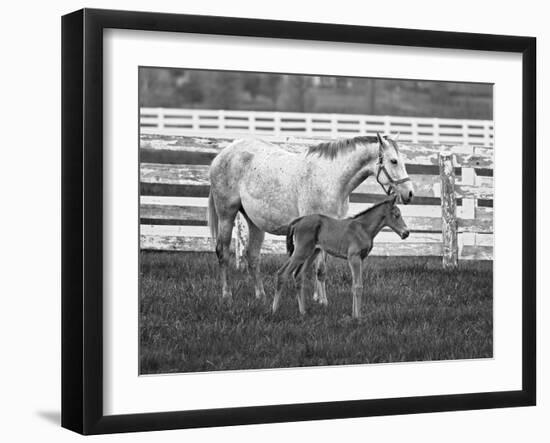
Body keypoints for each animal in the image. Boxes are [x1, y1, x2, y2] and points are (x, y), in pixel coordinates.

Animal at [209, 133, 416, 302]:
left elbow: (321, 269)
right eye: (394, 161)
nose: (410, 193)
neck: (331, 179)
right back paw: (226, 294)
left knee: (252, 256)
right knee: (222, 252)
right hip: (227, 214)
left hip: (254, 223)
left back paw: (261, 296)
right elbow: (318, 268)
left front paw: (318, 298)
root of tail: (222, 154)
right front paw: (322, 300)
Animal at [274, 197, 410, 320]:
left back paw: (303, 312)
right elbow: (358, 286)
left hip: (311, 252)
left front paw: (354, 315)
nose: (406, 233)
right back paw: (274, 311)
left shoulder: (360, 259)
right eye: (396, 215)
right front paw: (358, 318)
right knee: (282, 273)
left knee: (298, 275)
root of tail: (298, 220)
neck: (363, 228)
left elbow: (354, 285)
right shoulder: (354, 258)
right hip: (301, 252)